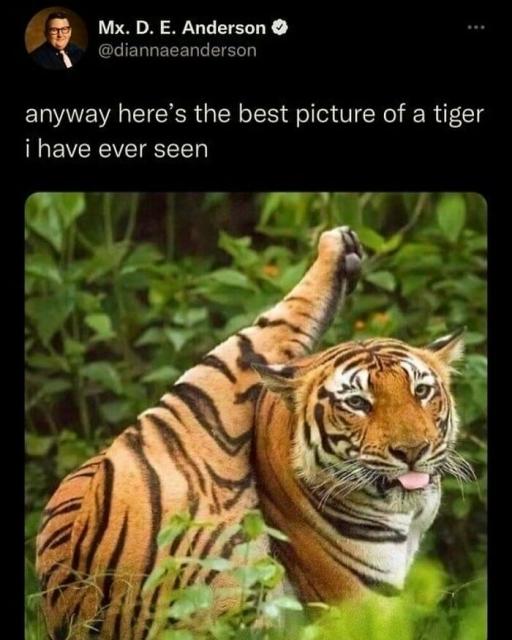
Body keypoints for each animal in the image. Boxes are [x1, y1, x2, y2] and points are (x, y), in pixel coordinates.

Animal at [35, 226, 471, 639]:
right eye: (357, 403)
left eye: (421, 391)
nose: (412, 451)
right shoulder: (359, 607)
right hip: (207, 393)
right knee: (264, 331)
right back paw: (336, 247)